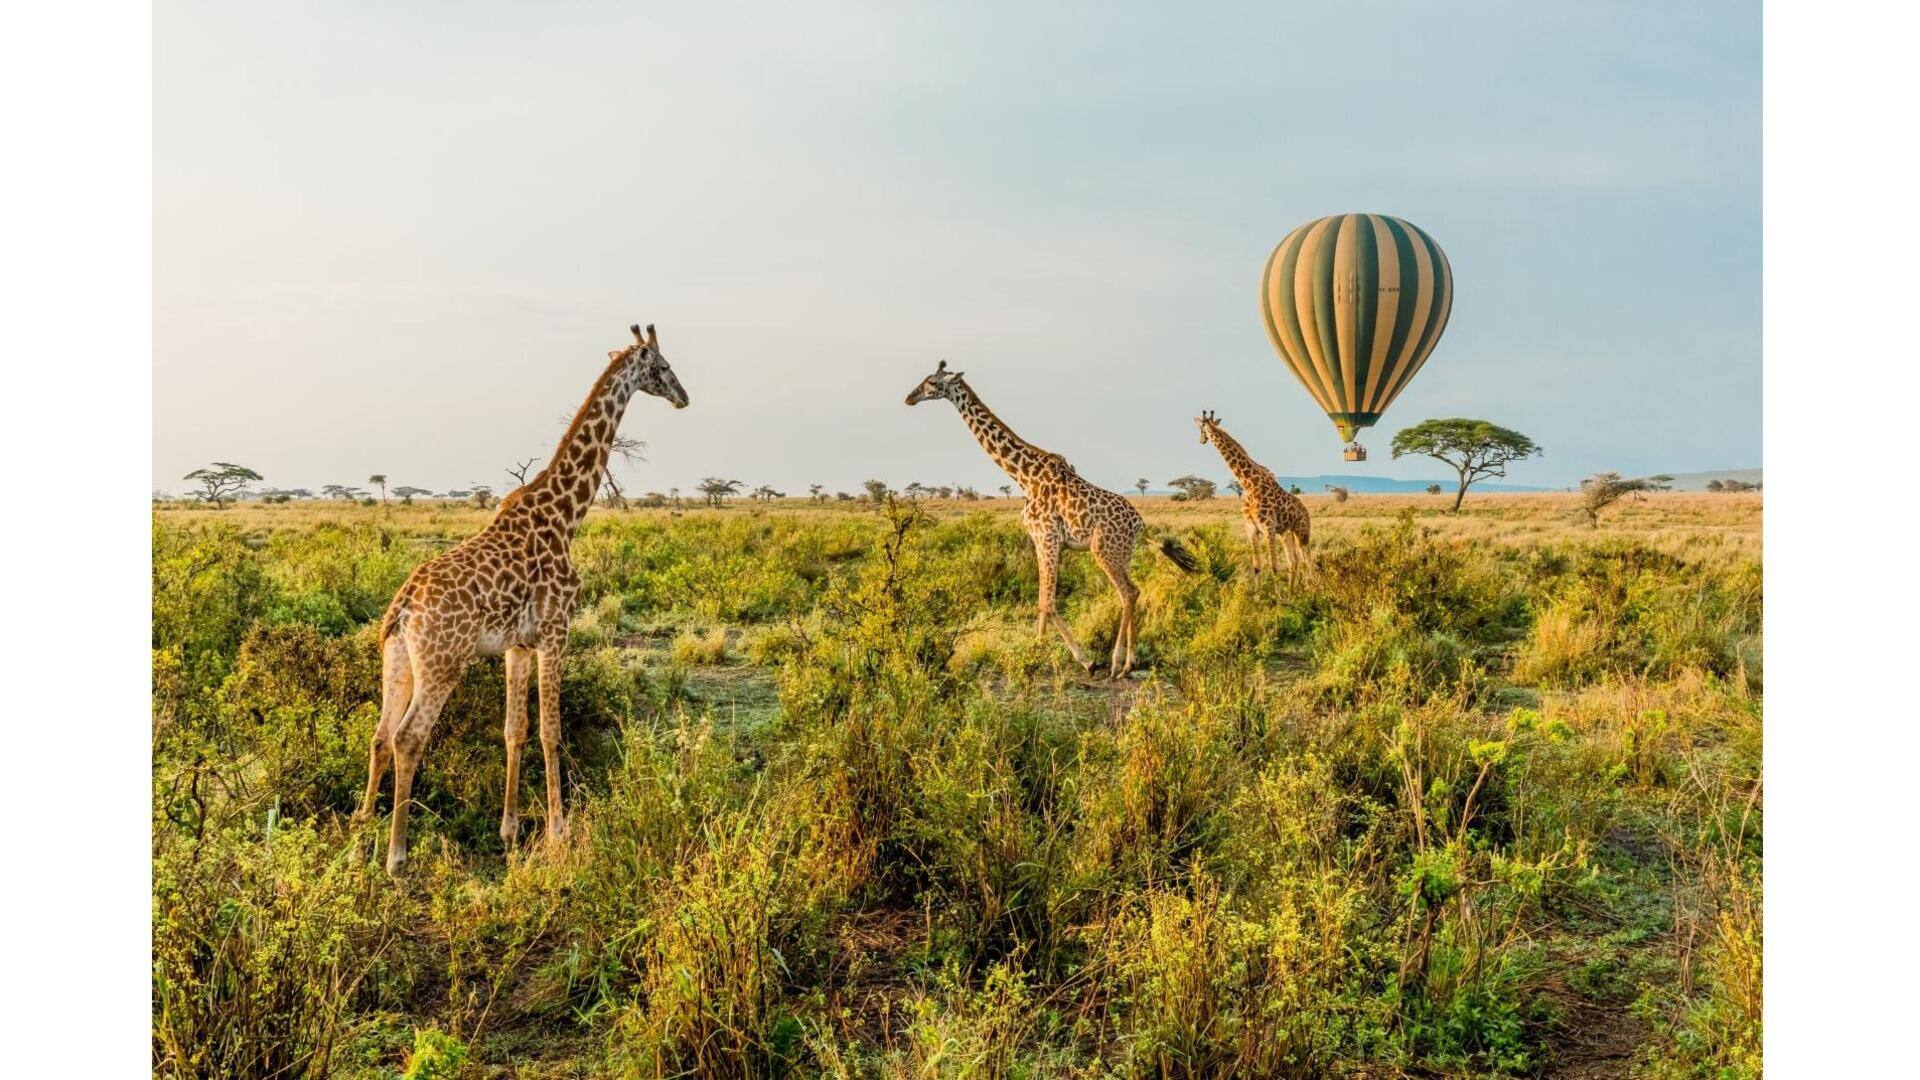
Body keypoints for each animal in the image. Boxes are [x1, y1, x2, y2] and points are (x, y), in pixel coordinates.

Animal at [360, 322, 691, 868]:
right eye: (663, 367)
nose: (684, 397)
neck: (565, 516)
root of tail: (403, 607)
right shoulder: (558, 630)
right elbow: (550, 732)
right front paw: (558, 830)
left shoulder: (517, 645)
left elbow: (514, 731)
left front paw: (510, 830)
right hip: (442, 664)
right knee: (409, 738)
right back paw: (396, 857)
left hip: (398, 660)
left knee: (381, 735)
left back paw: (361, 832)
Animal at [902, 357, 1198, 672]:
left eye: (932, 382)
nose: (910, 398)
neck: (1023, 476)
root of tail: (1140, 524)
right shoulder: (1039, 539)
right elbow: (1041, 598)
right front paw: (1037, 649)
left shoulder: (1047, 537)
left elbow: (1048, 602)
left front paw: (1084, 660)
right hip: (1122, 553)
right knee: (1131, 592)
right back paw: (1130, 662)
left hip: (1103, 550)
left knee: (1128, 592)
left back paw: (1116, 663)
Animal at [1190, 407, 1313, 584]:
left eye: (1201, 428)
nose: (1201, 440)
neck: (1248, 483)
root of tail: (1305, 511)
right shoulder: (1252, 529)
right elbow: (1257, 568)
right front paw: (1256, 592)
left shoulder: (1268, 527)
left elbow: (1273, 566)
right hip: (1286, 533)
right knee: (1293, 562)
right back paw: (1294, 590)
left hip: (1302, 532)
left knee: (1307, 560)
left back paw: (1312, 587)